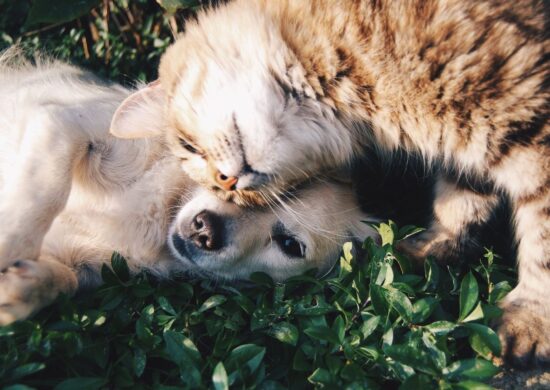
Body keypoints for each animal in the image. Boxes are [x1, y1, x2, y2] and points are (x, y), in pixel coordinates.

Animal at [112, 0, 550, 368]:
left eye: (188, 147)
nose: (228, 181)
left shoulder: (528, 122)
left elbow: (541, 240)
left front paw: (530, 320)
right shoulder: (469, 149)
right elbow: (461, 202)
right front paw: (432, 249)